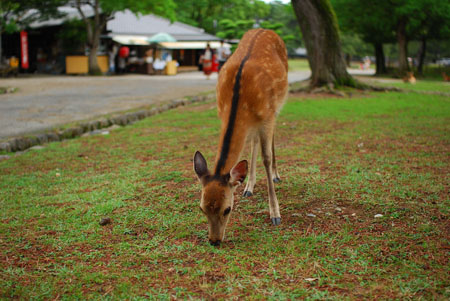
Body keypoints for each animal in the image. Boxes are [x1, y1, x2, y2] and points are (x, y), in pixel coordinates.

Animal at [193, 28, 288, 244]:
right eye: (202, 208)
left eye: (227, 209)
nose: (214, 241)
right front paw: (248, 186)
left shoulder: (267, 116)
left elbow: (266, 158)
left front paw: (275, 214)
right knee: (253, 142)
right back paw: (249, 187)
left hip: (278, 105)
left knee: (272, 138)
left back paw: (276, 176)